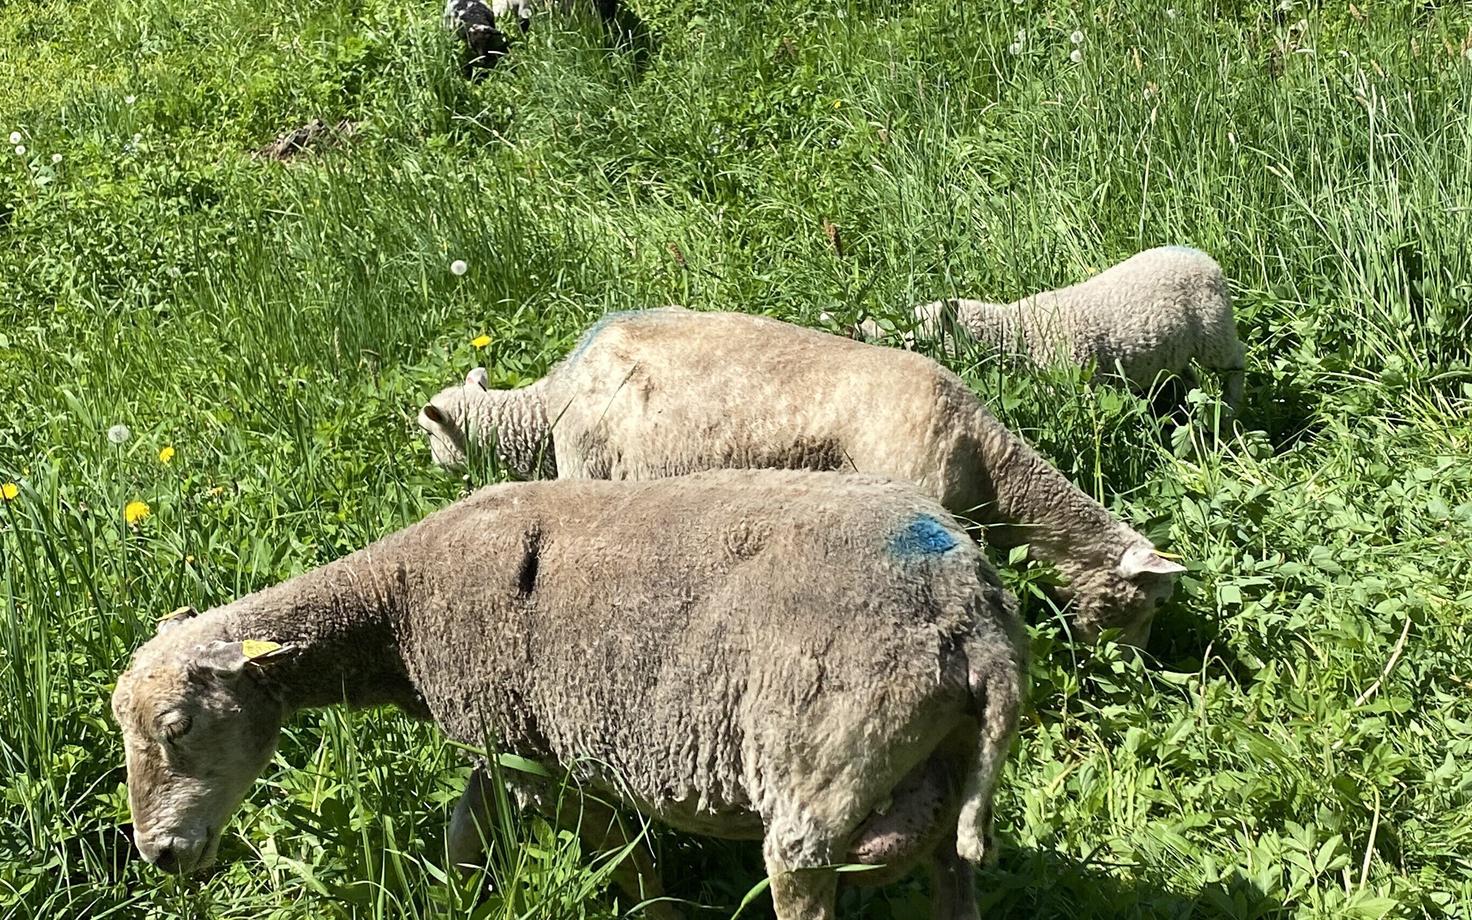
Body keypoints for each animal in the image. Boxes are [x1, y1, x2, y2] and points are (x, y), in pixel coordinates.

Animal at [112, 469, 1028, 920]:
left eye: (177, 725)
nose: (159, 856)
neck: (392, 608)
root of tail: (972, 615)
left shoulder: (537, 754)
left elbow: (623, 856)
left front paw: (658, 916)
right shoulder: (500, 739)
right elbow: (465, 831)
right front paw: (451, 900)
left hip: (818, 778)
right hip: (932, 768)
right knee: (953, 878)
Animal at [855, 246, 1246, 410]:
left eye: (918, 344)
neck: (1018, 332)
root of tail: (1201, 256)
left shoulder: (1076, 377)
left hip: (1215, 330)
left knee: (1235, 364)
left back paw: (1230, 410)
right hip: (1175, 349)